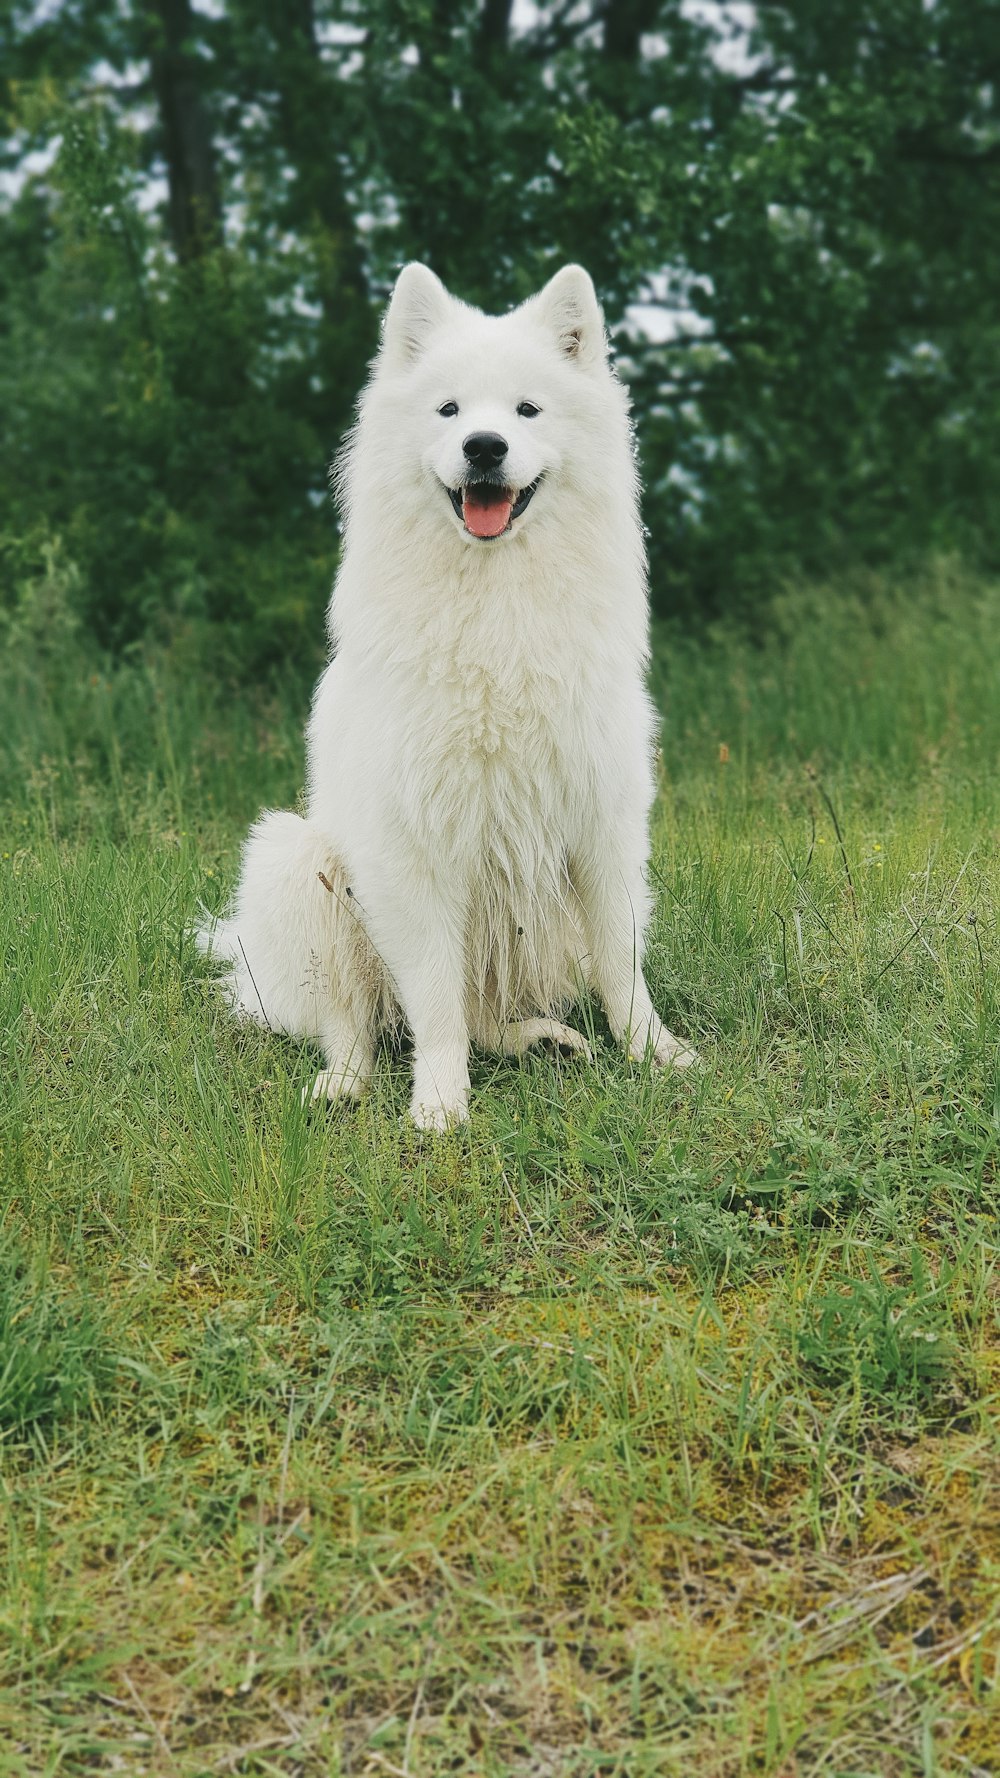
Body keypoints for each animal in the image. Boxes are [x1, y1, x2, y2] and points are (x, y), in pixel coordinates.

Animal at [202, 263, 693, 1123]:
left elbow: (621, 964)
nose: (484, 446)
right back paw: (344, 1083)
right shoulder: (412, 853)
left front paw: (655, 1056)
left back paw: (542, 1039)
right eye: (450, 411)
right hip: (294, 861)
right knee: (356, 1021)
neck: (497, 612)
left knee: (487, 1018)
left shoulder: (602, 826)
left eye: (527, 410)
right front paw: (438, 1107)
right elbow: (432, 1001)